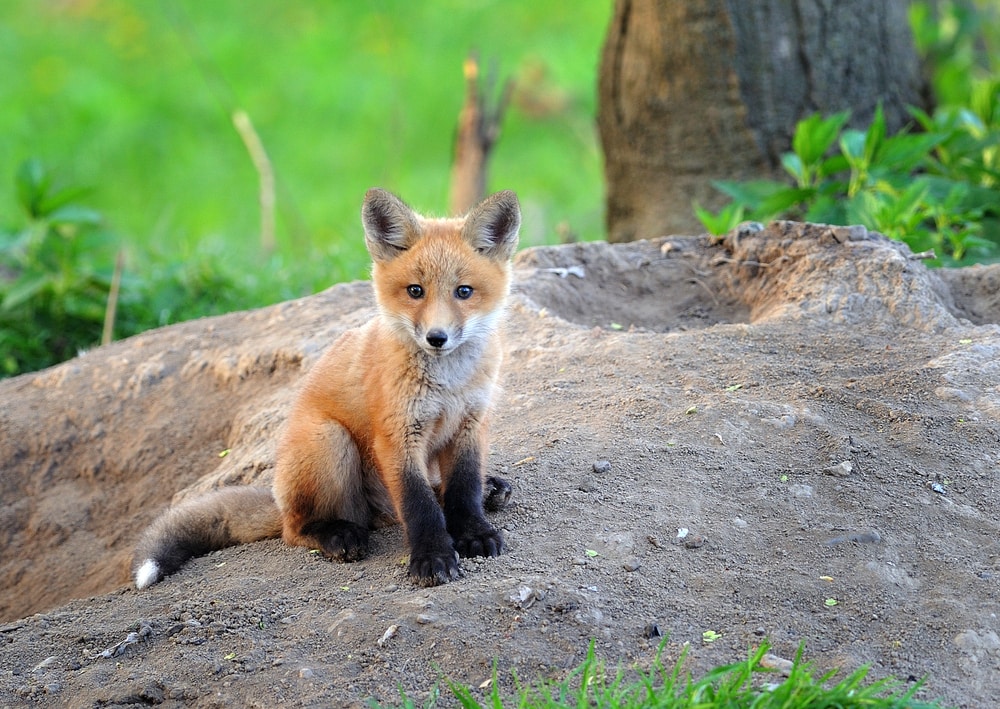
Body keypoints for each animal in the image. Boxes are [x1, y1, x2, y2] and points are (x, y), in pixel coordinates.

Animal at [133, 188, 520, 589]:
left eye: (464, 291)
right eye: (415, 291)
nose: (436, 337)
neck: (448, 384)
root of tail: (279, 500)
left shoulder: (471, 424)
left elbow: (464, 491)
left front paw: (474, 533)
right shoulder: (397, 436)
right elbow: (420, 507)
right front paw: (433, 556)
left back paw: (491, 488)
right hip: (330, 441)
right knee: (296, 529)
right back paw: (336, 535)